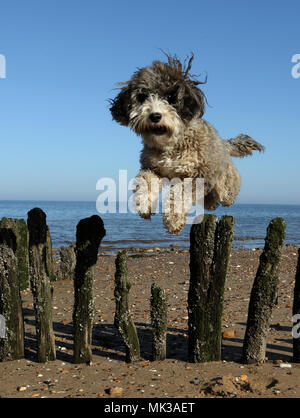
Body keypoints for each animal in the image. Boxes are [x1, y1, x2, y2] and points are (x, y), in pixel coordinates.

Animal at [109, 54, 264, 233]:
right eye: (142, 97)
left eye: (170, 98)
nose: (155, 116)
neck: (171, 144)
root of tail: (223, 143)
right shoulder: (153, 168)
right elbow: (145, 181)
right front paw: (144, 204)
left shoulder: (198, 174)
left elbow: (179, 193)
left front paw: (173, 219)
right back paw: (210, 203)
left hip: (225, 184)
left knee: (228, 189)